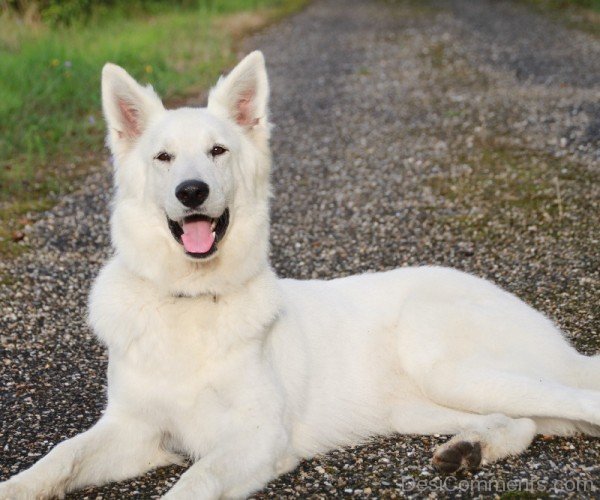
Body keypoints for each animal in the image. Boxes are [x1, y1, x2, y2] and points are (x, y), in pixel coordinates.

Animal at [1, 51, 600, 500]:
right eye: (163, 157)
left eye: (217, 150)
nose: (191, 192)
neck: (192, 299)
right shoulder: (133, 430)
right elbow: (60, 456)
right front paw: (19, 484)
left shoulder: (258, 437)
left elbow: (193, 481)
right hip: (423, 403)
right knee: (527, 421)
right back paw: (470, 447)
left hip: (449, 368)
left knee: (578, 404)